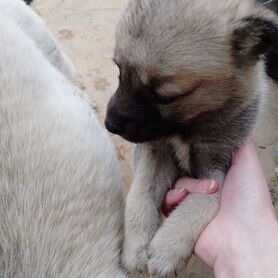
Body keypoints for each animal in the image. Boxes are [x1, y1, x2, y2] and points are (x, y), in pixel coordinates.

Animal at [105, 0, 278, 276]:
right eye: (119, 71)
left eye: (164, 96)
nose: (109, 124)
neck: (186, 130)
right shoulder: (155, 152)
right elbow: (141, 192)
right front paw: (136, 245)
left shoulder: (218, 167)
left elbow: (203, 201)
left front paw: (168, 247)